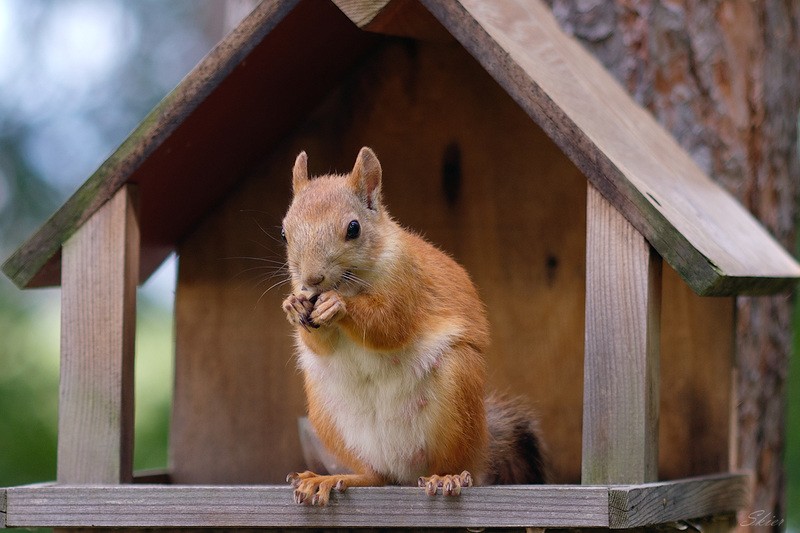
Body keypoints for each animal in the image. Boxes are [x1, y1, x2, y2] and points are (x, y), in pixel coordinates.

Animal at [278, 148, 548, 504]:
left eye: (353, 228)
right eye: (284, 231)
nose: (312, 279)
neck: (351, 282)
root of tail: (406, 470)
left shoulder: (408, 283)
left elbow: (389, 326)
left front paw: (339, 305)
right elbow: (319, 344)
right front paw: (294, 306)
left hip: (457, 393)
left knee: (452, 463)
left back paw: (448, 477)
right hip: (328, 414)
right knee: (376, 476)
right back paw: (334, 477)